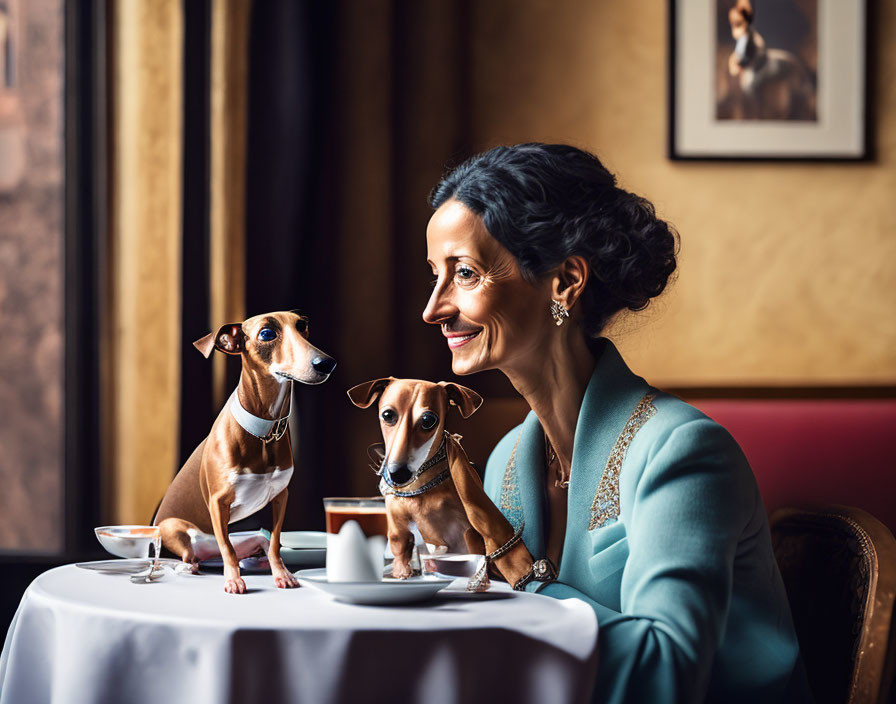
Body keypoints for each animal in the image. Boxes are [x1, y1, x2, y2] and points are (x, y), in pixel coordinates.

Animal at [154, 310, 336, 592]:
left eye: (302, 325)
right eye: (267, 333)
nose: (326, 363)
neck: (263, 433)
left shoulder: (281, 496)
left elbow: (275, 542)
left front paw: (281, 573)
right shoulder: (218, 503)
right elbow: (227, 548)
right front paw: (233, 579)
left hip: (238, 537)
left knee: (259, 541)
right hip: (176, 528)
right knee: (191, 554)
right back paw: (190, 565)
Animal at [348, 380, 494, 588]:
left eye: (428, 420)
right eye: (387, 415)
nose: (397, 474)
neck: (421, 491)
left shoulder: (468, 531)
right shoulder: (398, 528)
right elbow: (401, 551)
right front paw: (402, 573)